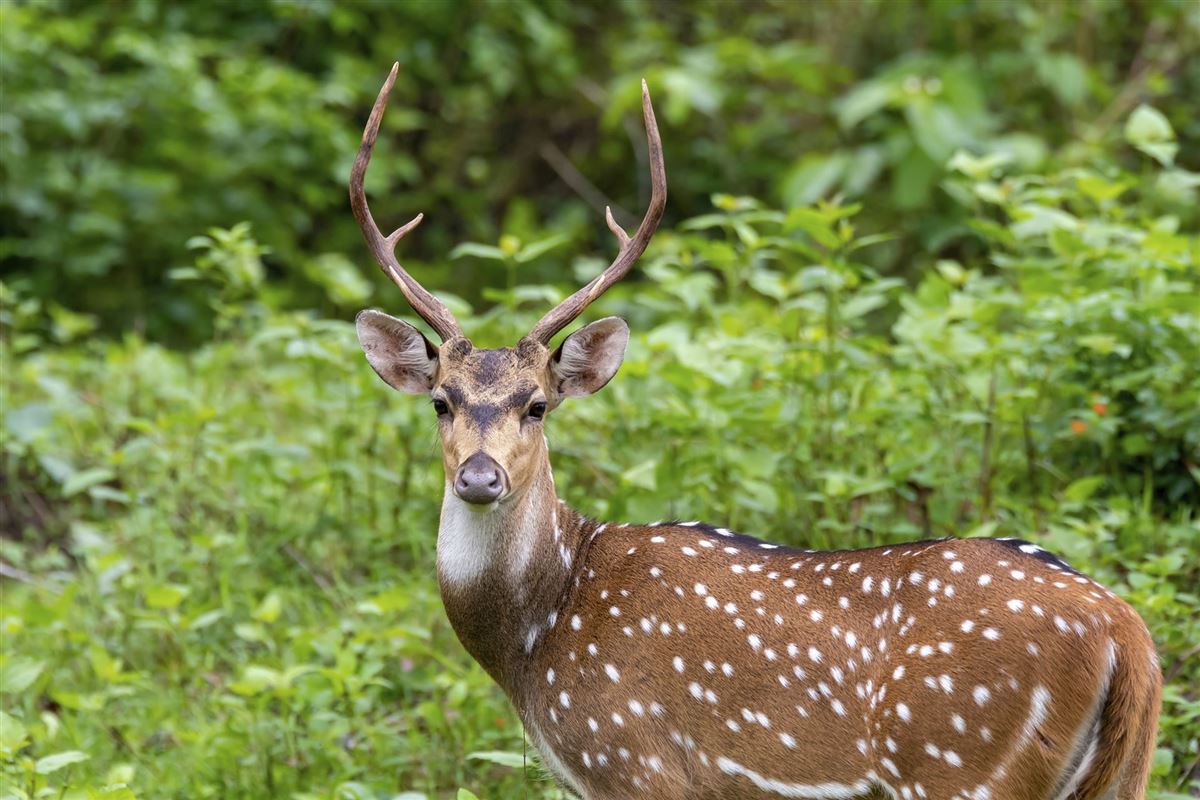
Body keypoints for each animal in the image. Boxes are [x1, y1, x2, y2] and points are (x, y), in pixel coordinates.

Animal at [349, 64, 1161, 800]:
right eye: (441, 401)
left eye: (538, 404)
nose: (480, 476)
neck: (537, 634)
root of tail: (1129, 635)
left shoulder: (636, 762)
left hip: (963, 763)